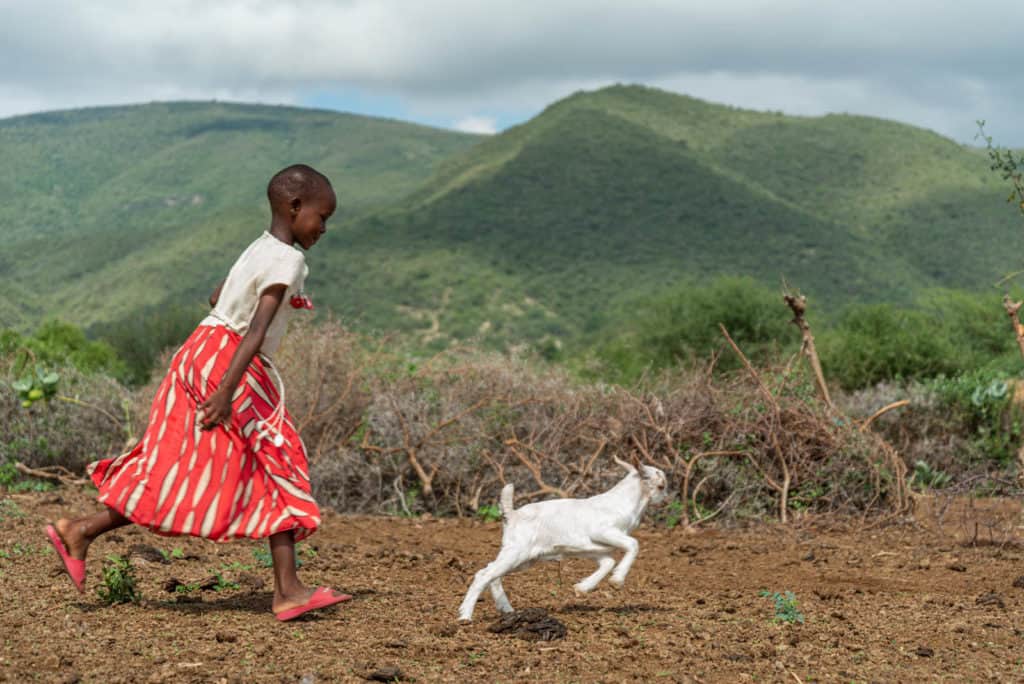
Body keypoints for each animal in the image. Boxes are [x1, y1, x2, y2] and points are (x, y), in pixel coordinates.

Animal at [458, 450, 667, 622]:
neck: (624, 503)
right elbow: (633, 544)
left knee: (491, 574)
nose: (665, 502)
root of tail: (512, 514)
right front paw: (618, 580)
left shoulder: (595, 549)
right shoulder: (603, 532)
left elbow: (608, 562)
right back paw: (465, 616)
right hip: (516, 553)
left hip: (523, 559)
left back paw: (506, 609)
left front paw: (583, 588)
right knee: (484, 574)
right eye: (662, 486)